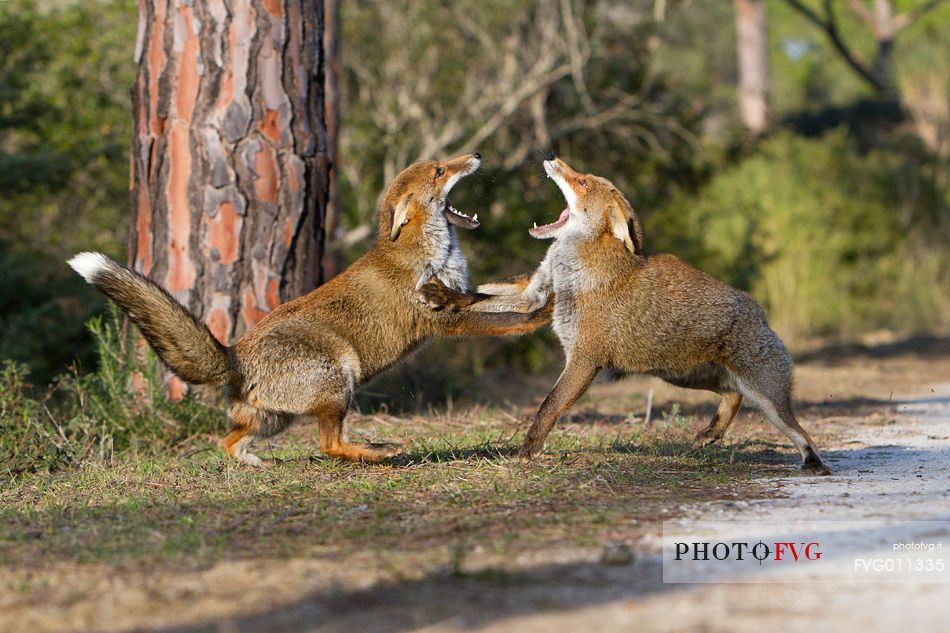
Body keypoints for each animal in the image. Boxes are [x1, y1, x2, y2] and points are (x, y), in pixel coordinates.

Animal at [70, 154, 552, 464]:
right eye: (440, 170)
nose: (475, 154)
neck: (428, 253)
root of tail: (234, 356)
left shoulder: (460, 295)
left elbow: (499, 299)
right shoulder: (443, 318)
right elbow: (506, 322)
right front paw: (540, 318)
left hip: (273, 420)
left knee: (229, 441)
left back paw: (254, 465)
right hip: (339, 378)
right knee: (329, 446)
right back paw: (380, 452)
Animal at [424, 157, 832, 474]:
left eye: (583, 182)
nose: (552, 157)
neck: (572, 268)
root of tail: (759, 310)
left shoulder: (584, 359)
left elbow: (547, 407)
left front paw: (526, 453)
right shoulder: (534, 297)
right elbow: (480, 295)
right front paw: (443, 293)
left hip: (763, 396)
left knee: (800, 432)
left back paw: (814, 463)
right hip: (688, 376)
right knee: (733, 397)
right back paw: (711, 433)